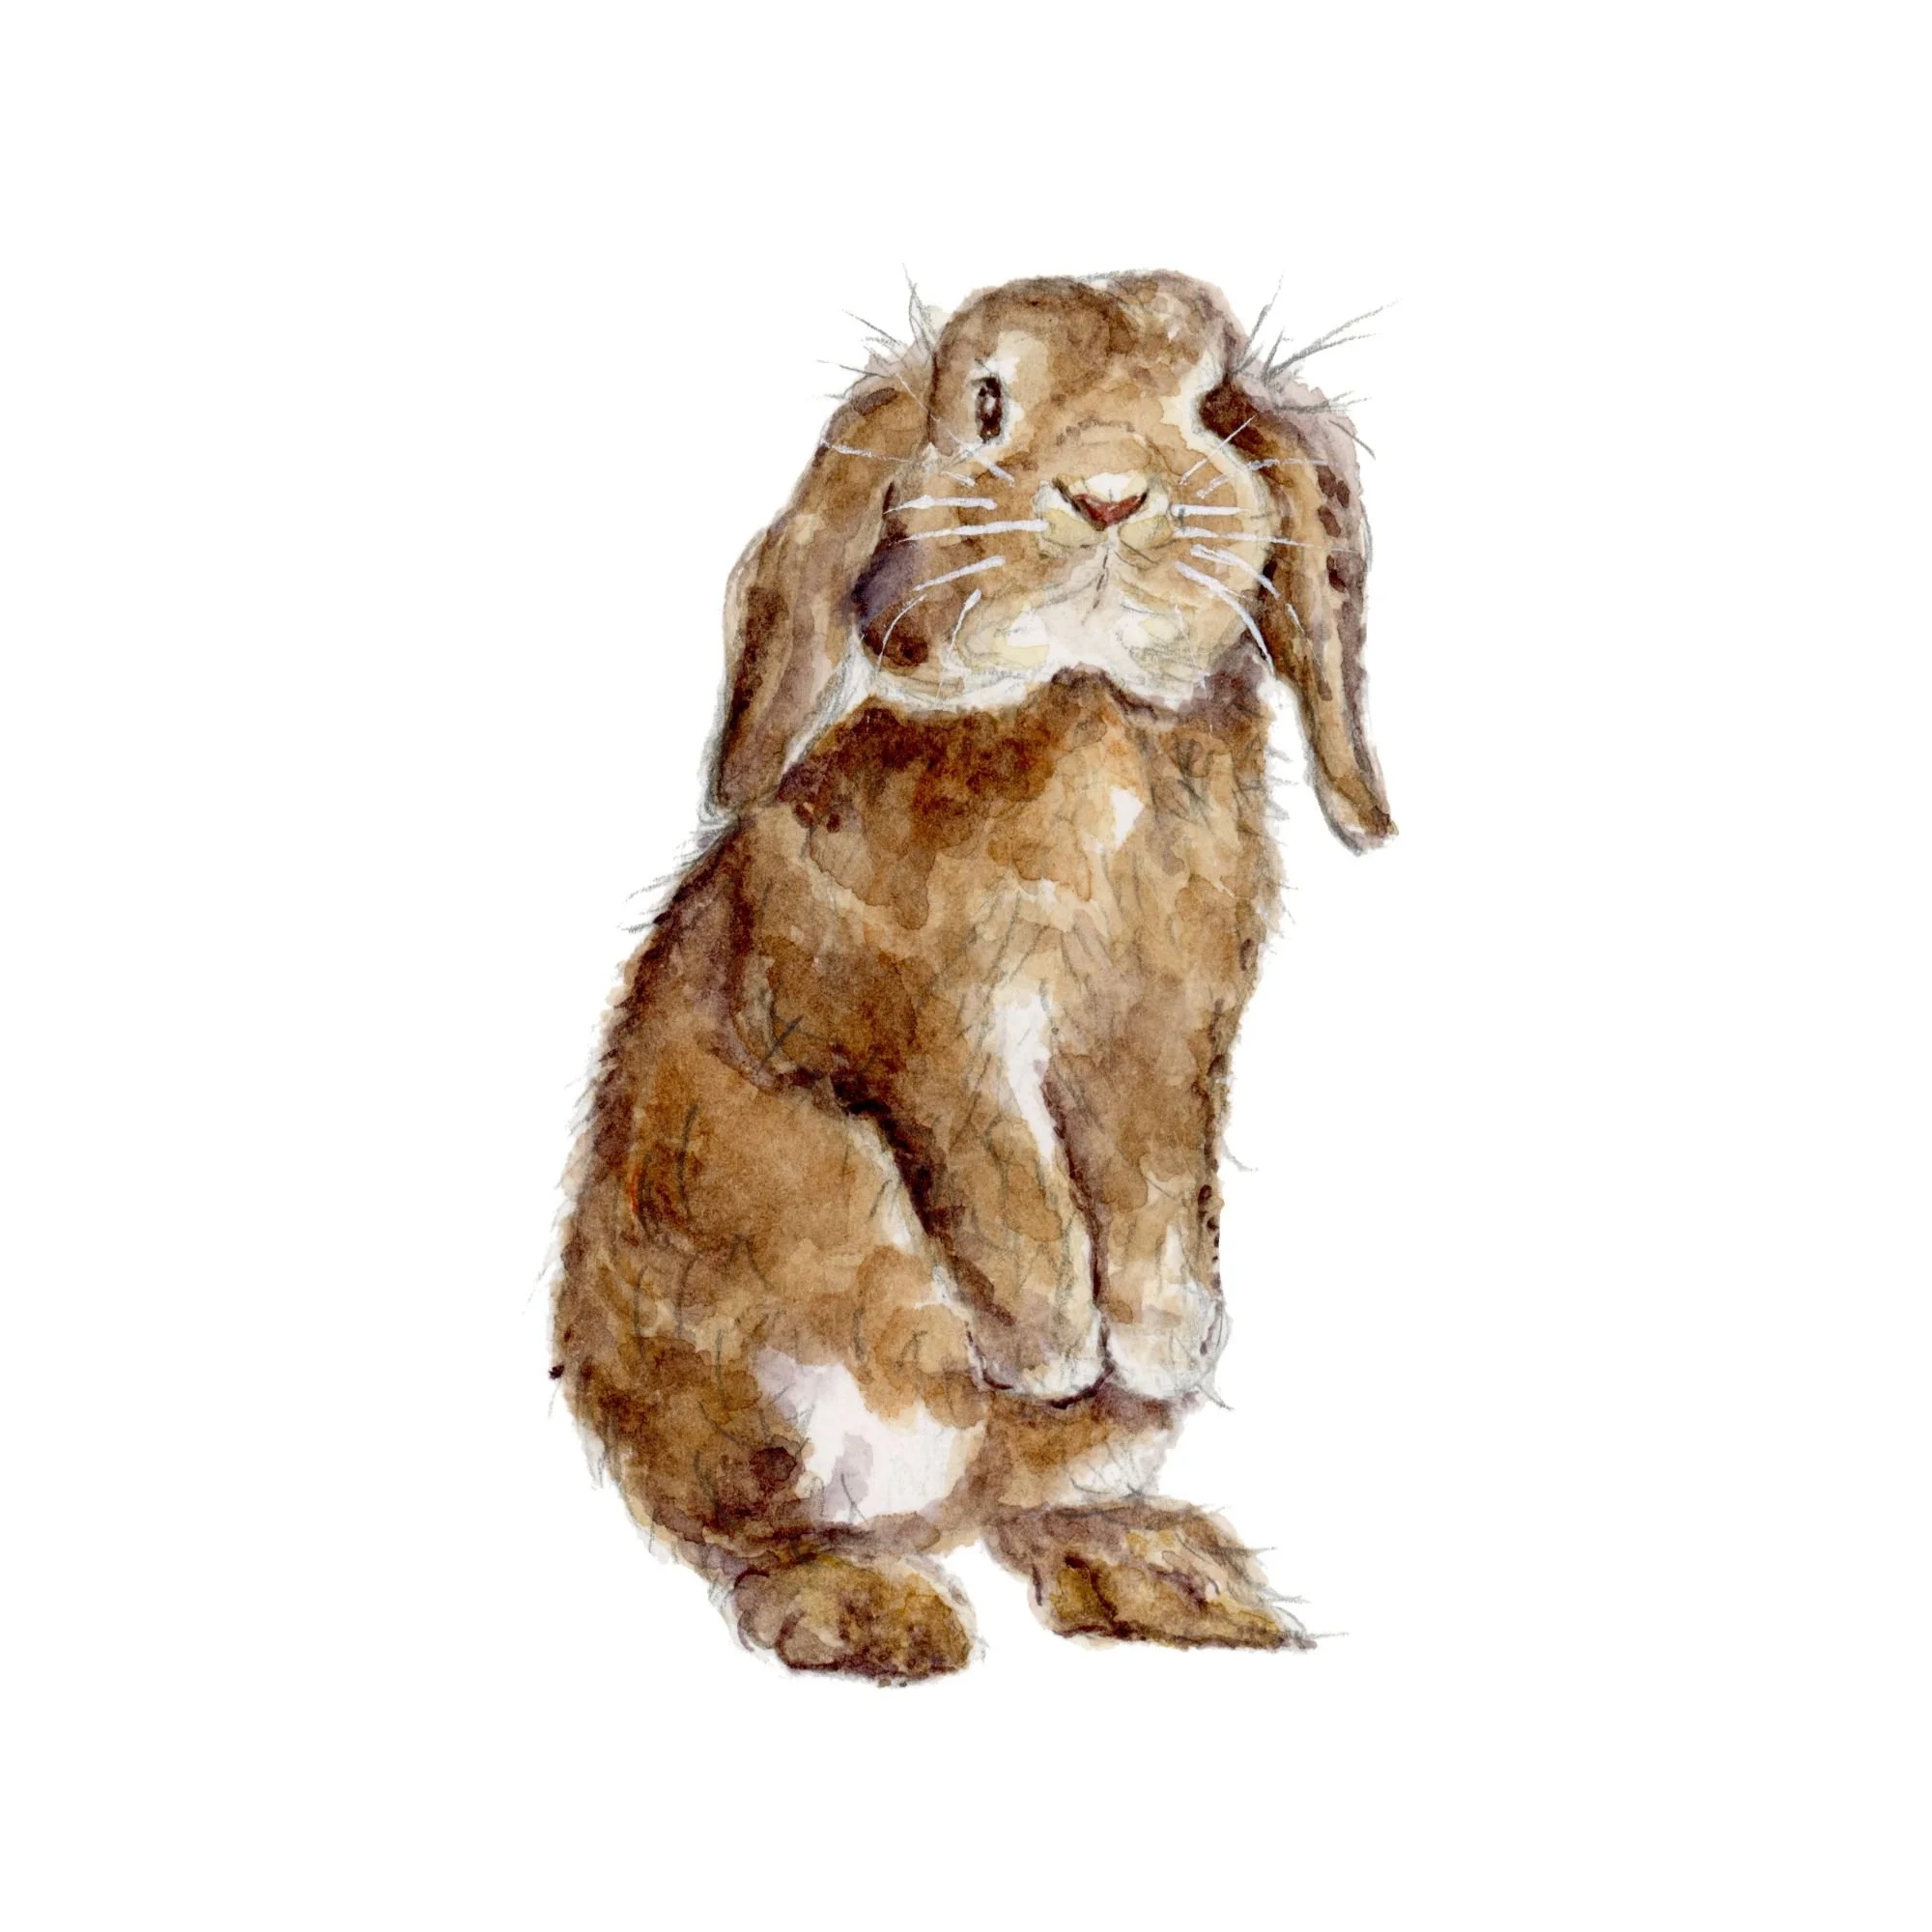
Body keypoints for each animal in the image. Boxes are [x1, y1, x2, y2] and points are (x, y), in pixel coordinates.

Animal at [552, 271, 1393, 1681]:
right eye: (987, 404)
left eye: (1212, 406)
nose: (1107, 491)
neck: (1085, 704)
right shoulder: (920, 1031)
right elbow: (1005, 1175)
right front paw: (1056, 1340)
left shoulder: (1166, 1040)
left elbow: (1153, 1179)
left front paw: (1163, 1338)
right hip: (772, 1378)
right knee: (769, 1532)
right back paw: (874, 1613)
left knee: (1022, 1510)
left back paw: (1171, 1574)